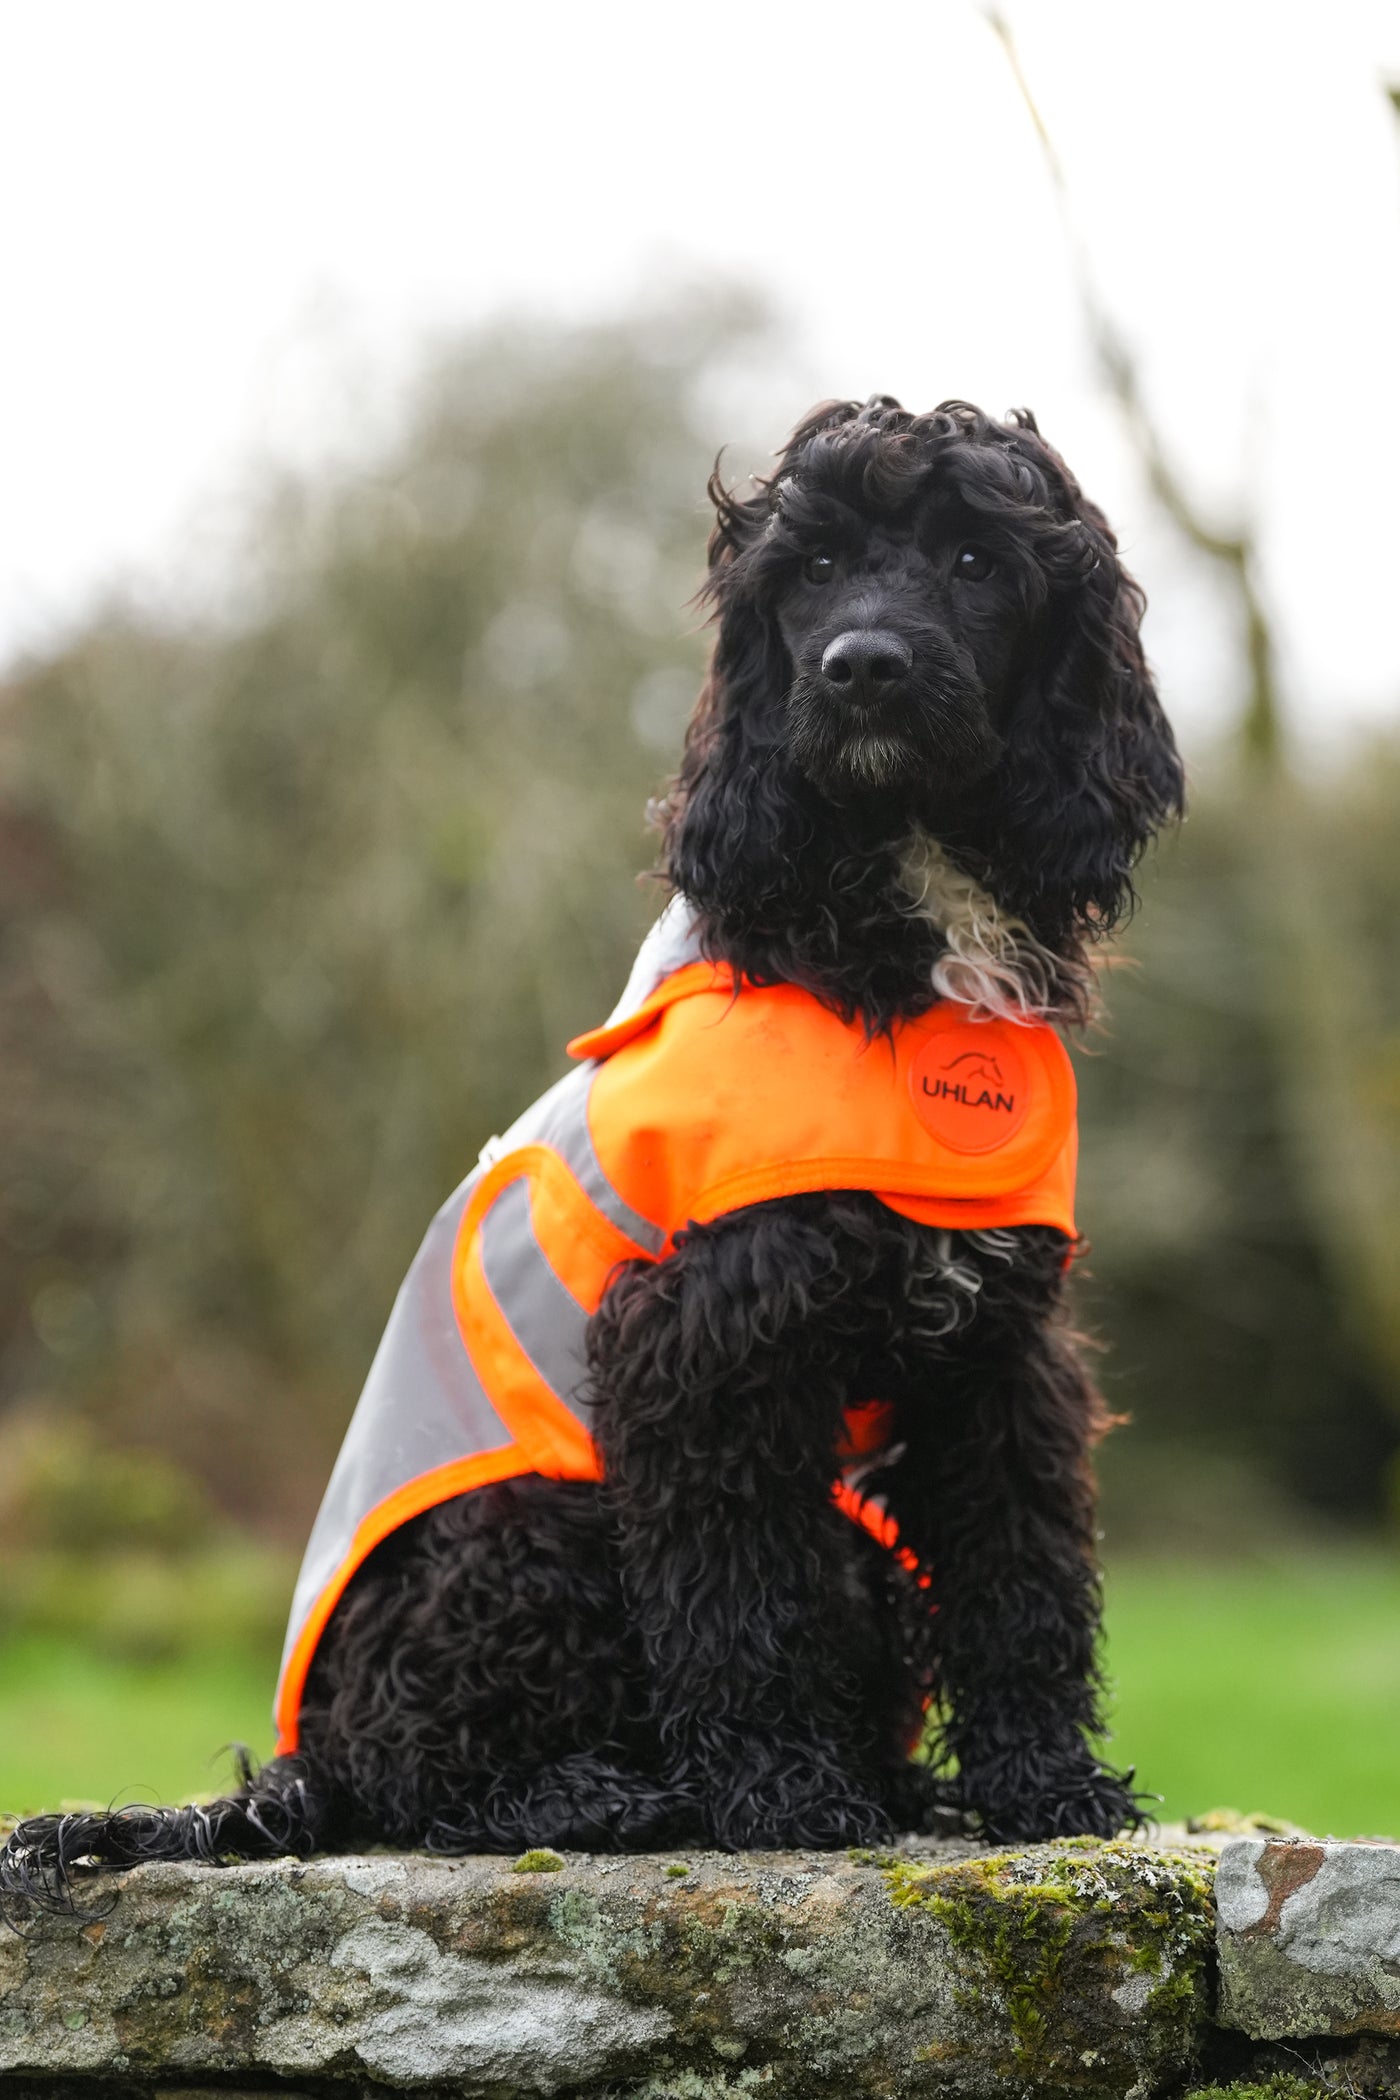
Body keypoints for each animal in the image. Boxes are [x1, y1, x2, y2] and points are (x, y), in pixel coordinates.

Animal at [0, 386, 1183, 1915]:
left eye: (978, 562)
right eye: (810, 569)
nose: (859, 669)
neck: (884, 938)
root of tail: (304, 1760)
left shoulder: (1000, 1352)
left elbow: (1018, 1576)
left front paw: (1044, 1789)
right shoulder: (703, 1345)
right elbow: (735, 1599)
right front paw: (776, 1798)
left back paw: (880, 1781)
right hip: (534, 1529)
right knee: (424, 1773)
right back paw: (609, 1794)